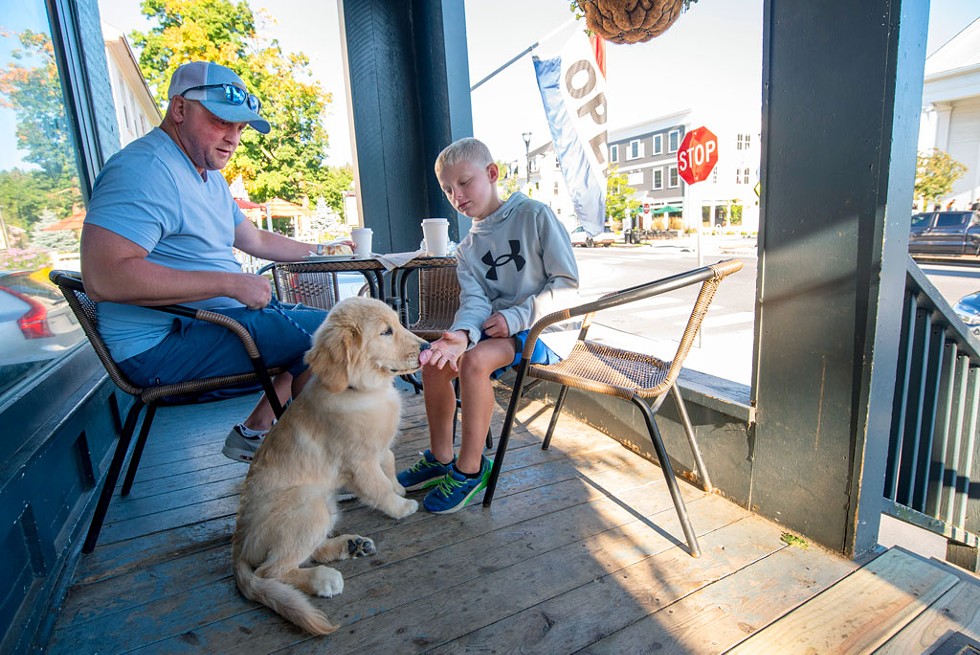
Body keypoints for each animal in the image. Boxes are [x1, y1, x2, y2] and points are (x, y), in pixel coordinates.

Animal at [234, 298, 428, 636]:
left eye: (398, 323)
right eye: (386, 332)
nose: (428, 346)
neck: (360, 390)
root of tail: (239, 545)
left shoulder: (379, 448)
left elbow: (389, 463)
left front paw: (399, 488)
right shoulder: (359, 462)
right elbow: (378, 486)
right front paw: (401, 506)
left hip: (325, 504)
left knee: (305, 553)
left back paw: (350, 545)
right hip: (308, 504)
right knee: (271, 570)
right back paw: (323, 578)